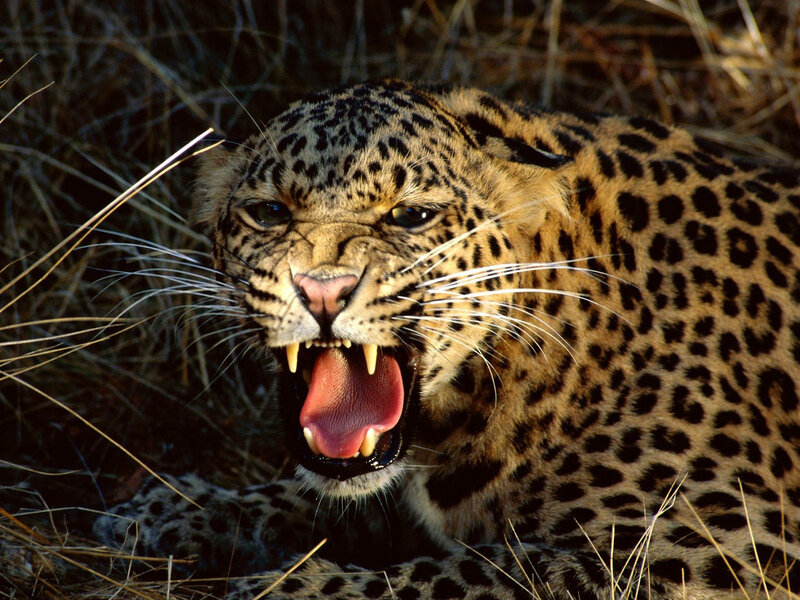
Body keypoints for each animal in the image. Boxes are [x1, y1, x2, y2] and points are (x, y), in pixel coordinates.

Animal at [95, 79, 800, 599]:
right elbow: (320, 496)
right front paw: (171, 510)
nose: (322, 290)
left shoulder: (729, 544)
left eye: (412, 216)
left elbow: (497, 570)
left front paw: (288, 590)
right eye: (269, 213)